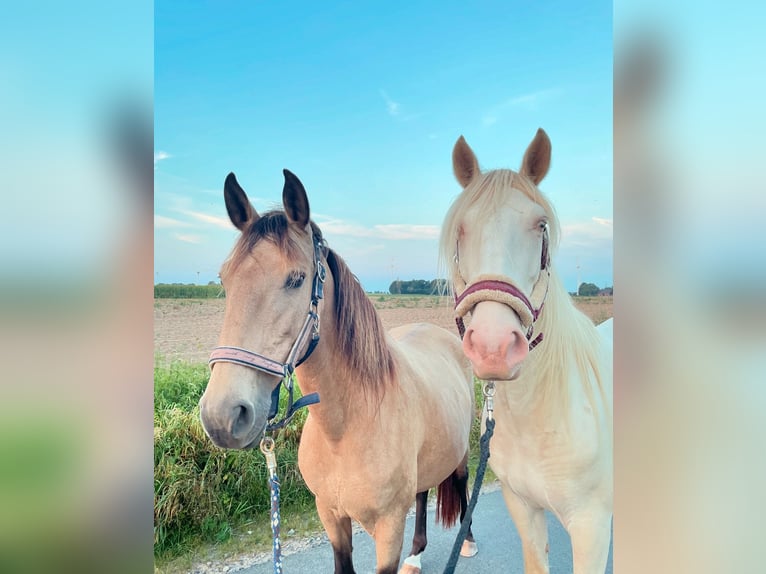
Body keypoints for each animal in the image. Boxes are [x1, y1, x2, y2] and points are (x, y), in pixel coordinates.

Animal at [199, 169, 478, 574]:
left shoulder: (388, 529)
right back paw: (415, 556)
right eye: (224, 279)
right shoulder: (330, 517)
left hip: (460, 452)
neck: (346, 429)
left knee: (463, 482)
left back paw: (467, 541)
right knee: (422, 494)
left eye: (297, 279)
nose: (222, 415)